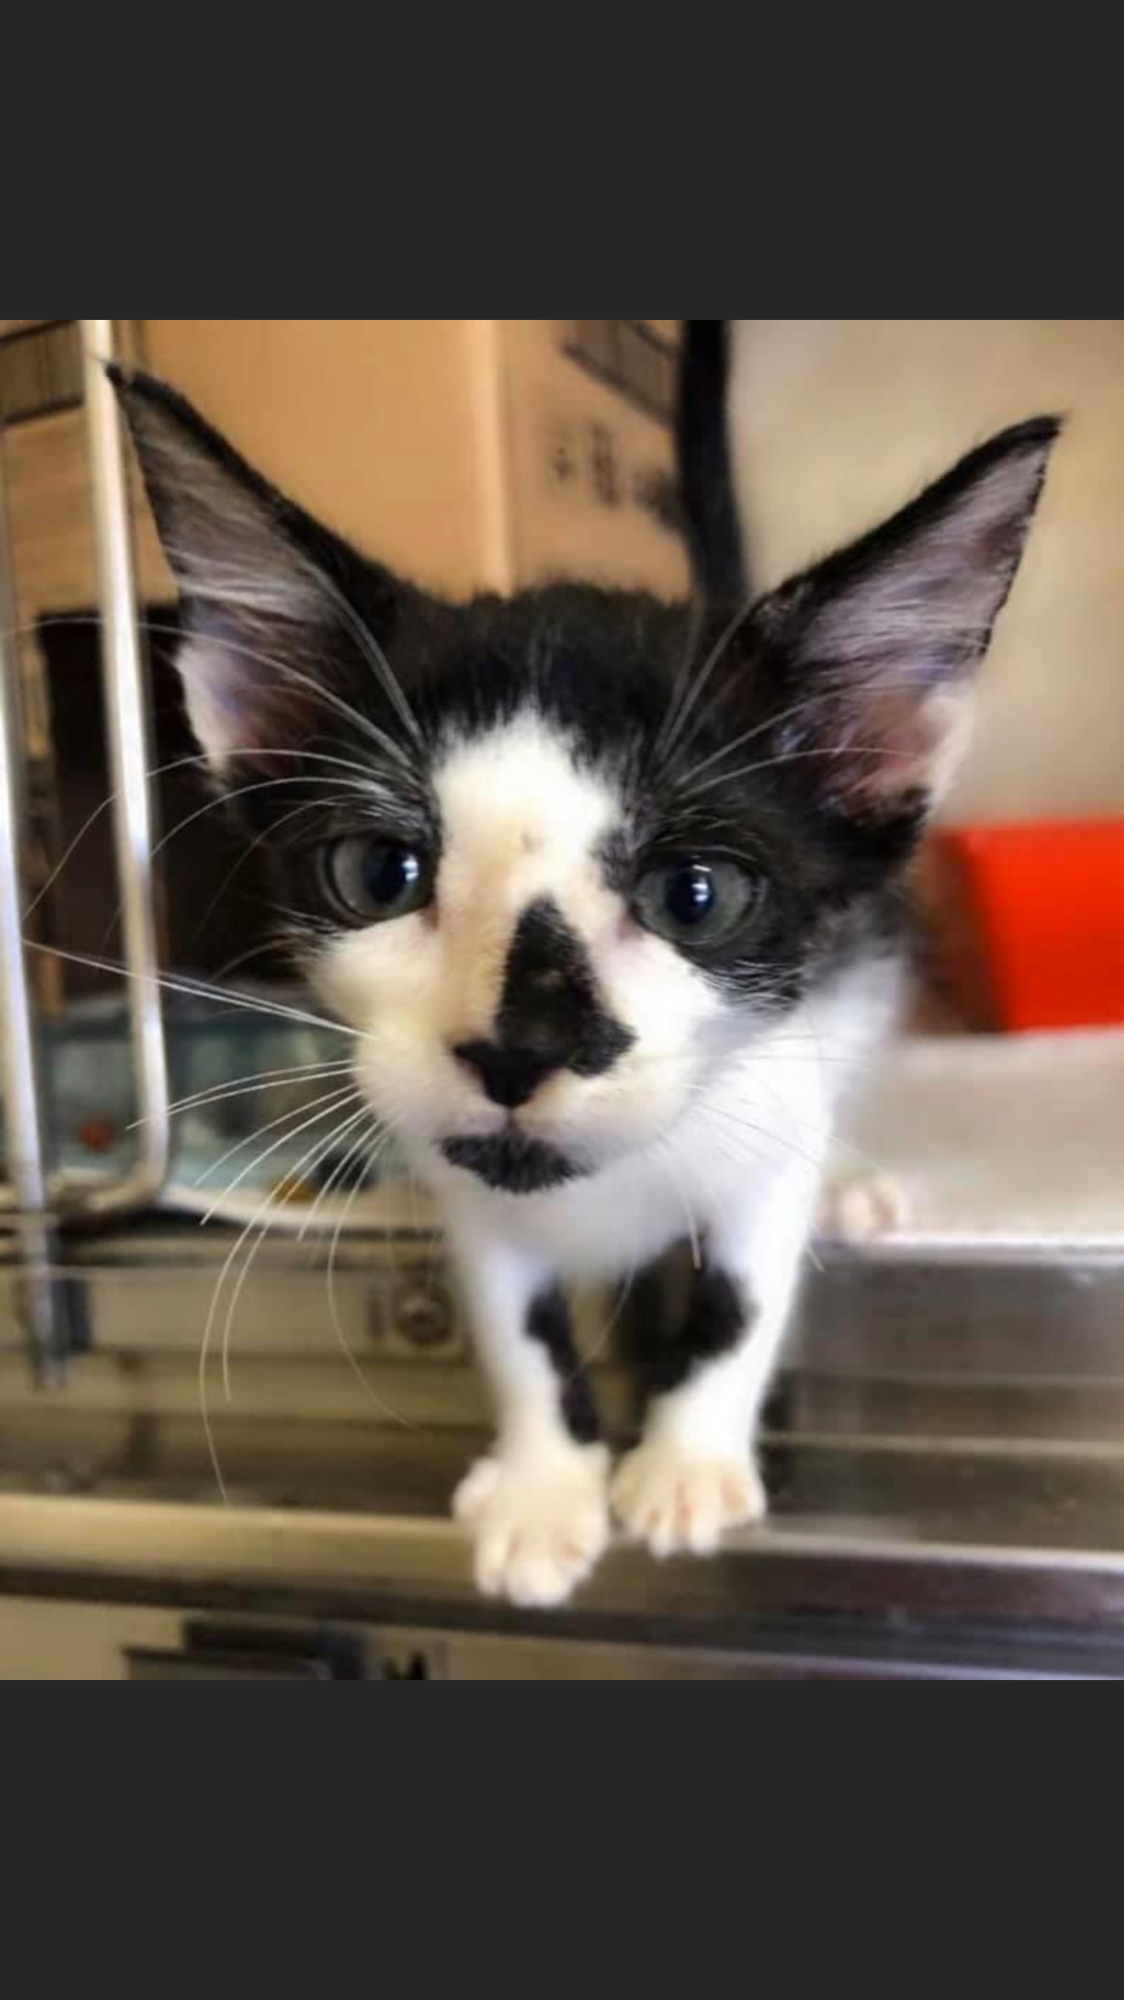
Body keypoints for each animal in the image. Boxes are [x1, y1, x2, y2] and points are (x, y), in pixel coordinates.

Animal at [112, 348, 1058, 1608]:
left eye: (694, 894)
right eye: (376, 870)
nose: (518, 1047)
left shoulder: (772, 1102)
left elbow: (744, 1286)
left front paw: (684, 1464)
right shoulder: (468, 1183)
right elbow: (516, 1320)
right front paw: (541, 1487)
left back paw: (851, 1181)